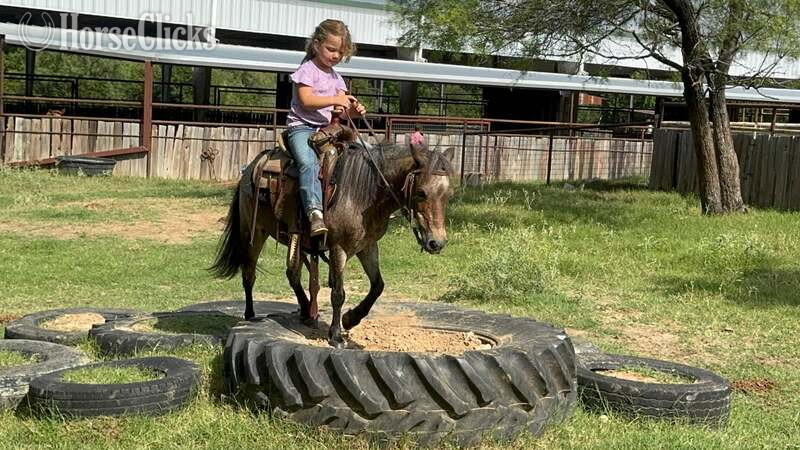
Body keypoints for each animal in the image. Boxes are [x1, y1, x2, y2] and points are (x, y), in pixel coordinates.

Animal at [211, 133, 455, 347]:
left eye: (448, 194)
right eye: (421, 192)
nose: (437, 243)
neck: (362, 194)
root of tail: (252, 166)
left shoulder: (367, 246)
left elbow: (378, 285)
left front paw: (351, 318)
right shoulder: (339, 248)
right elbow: (338, 293)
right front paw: (336, 335)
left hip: (296, 239)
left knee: (293, 274)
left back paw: (306, 311)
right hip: (253, 233)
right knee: (249, 273)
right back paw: (251, 315)